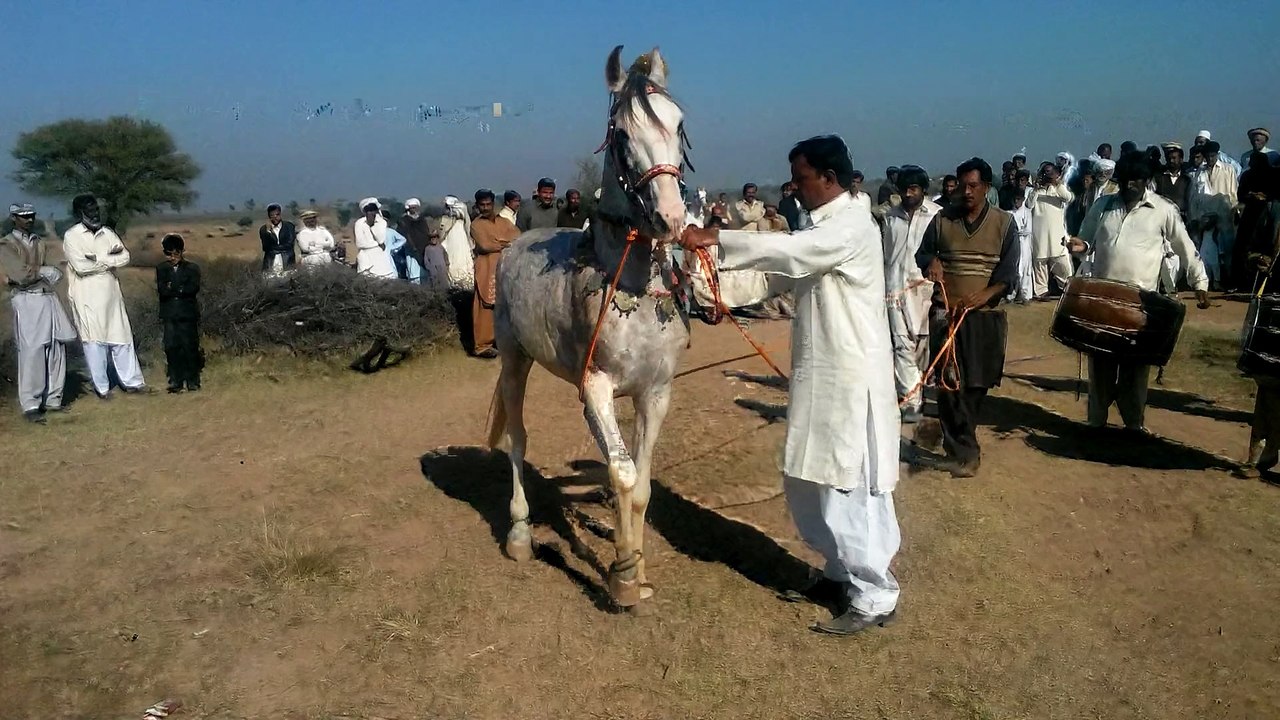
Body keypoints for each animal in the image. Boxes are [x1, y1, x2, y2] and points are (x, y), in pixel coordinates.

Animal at [486, 45, 693, 609]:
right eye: (621, 135)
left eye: (679, 126)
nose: (671, 218)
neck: (632, 286)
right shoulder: (596, 389)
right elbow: (621, 474)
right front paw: (621, 577)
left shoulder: (656, 393)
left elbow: (640, 485)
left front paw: (636, 568)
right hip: (514, 360)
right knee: (517, 439)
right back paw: (519, 535)